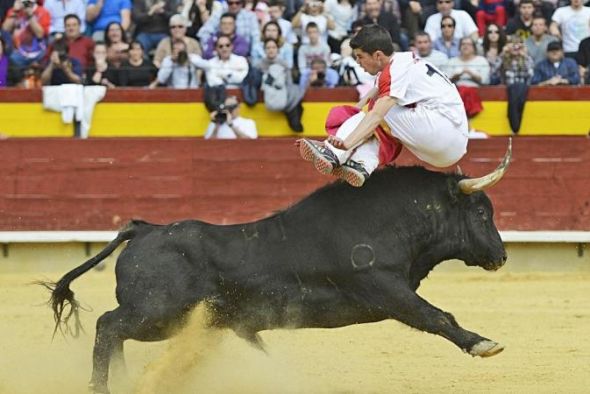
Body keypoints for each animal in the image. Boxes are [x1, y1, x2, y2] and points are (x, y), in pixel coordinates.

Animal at [41, 145, 512, 394]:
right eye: (481, 212)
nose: (502, 256)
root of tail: (144, 230)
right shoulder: (385, 288)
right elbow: (436, 316)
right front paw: (484, 344)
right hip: (158, 313)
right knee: (107, 325)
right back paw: (101, 387)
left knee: (113, 331)